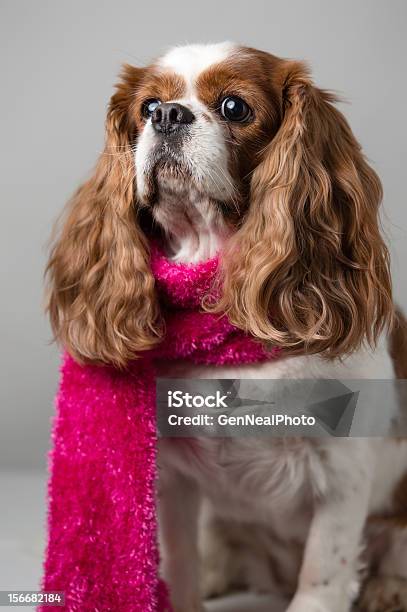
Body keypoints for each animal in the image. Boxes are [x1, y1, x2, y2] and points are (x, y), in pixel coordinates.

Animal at [46, 43, 407, 612]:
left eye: (235, 107)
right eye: (148, 108)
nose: (169, 116)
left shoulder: (342, 476)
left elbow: (322, 578)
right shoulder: (173, 480)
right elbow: (180, 563)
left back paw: (387, 588)